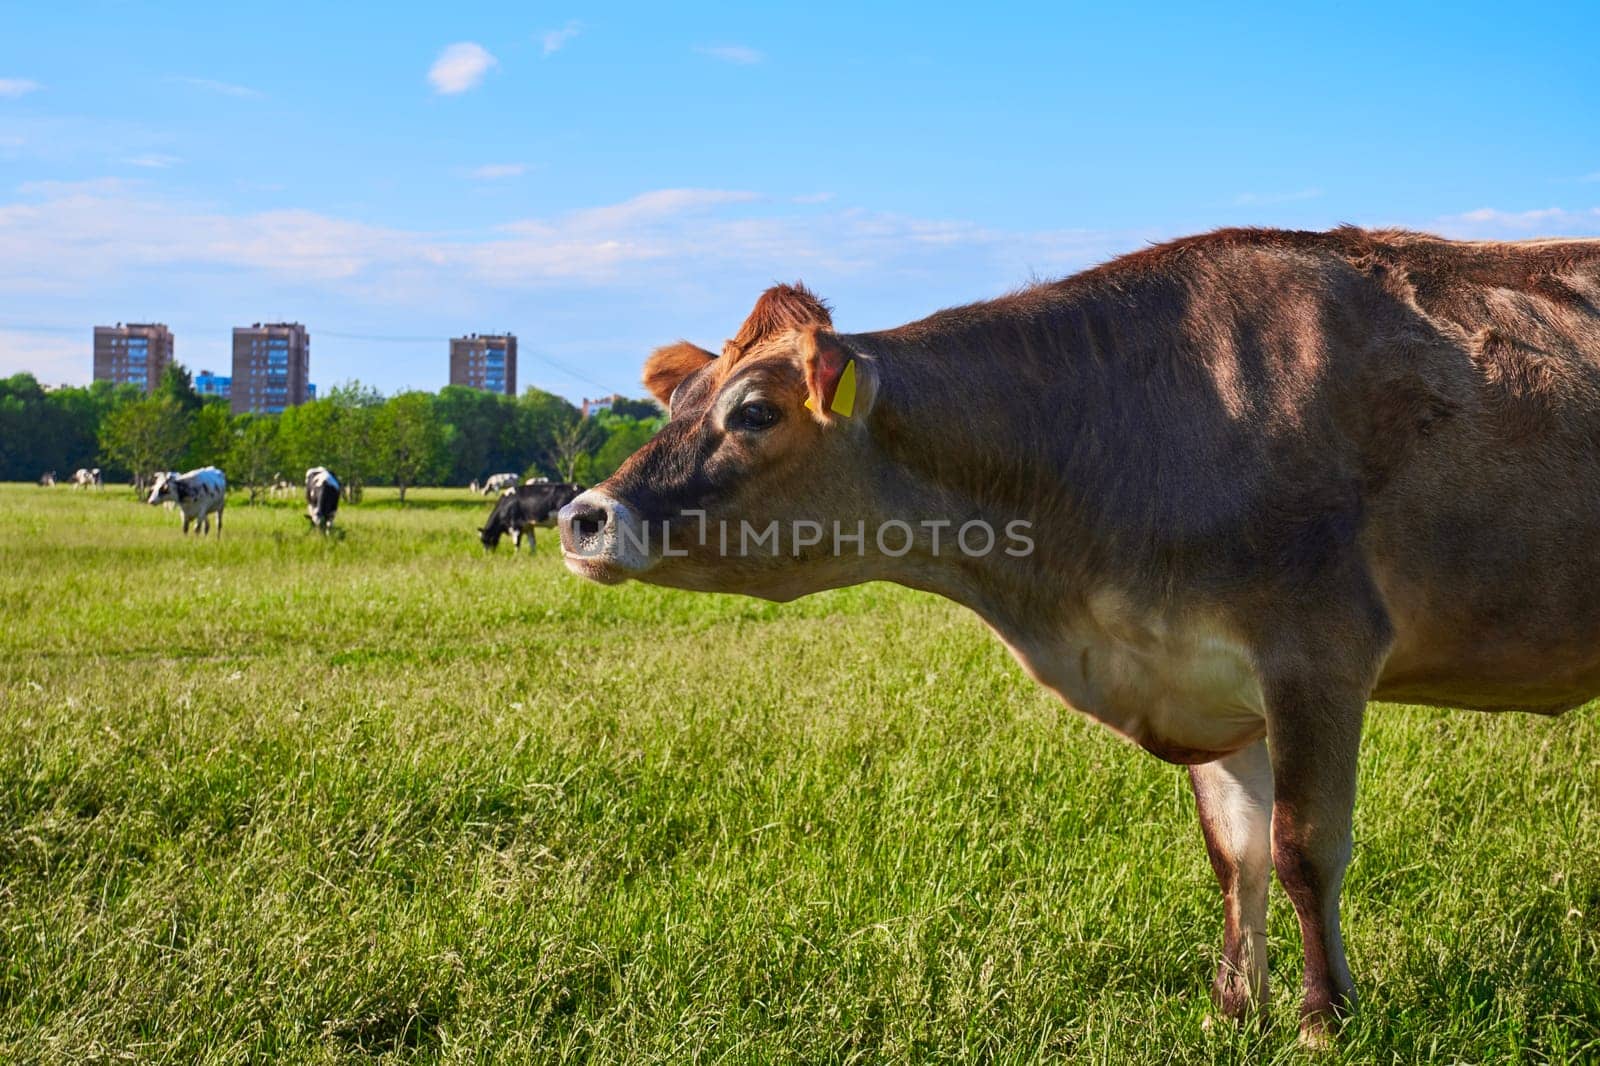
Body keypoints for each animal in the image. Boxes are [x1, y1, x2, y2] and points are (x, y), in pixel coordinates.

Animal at [560, 228, 1600, 1043]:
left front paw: (1323, 1021)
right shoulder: (1208, 679)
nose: (582, 517)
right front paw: (1237, 1011)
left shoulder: (1319, 650)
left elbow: (1307, 849)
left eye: (755, 410)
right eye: (678, 402)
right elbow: (1237, 853)